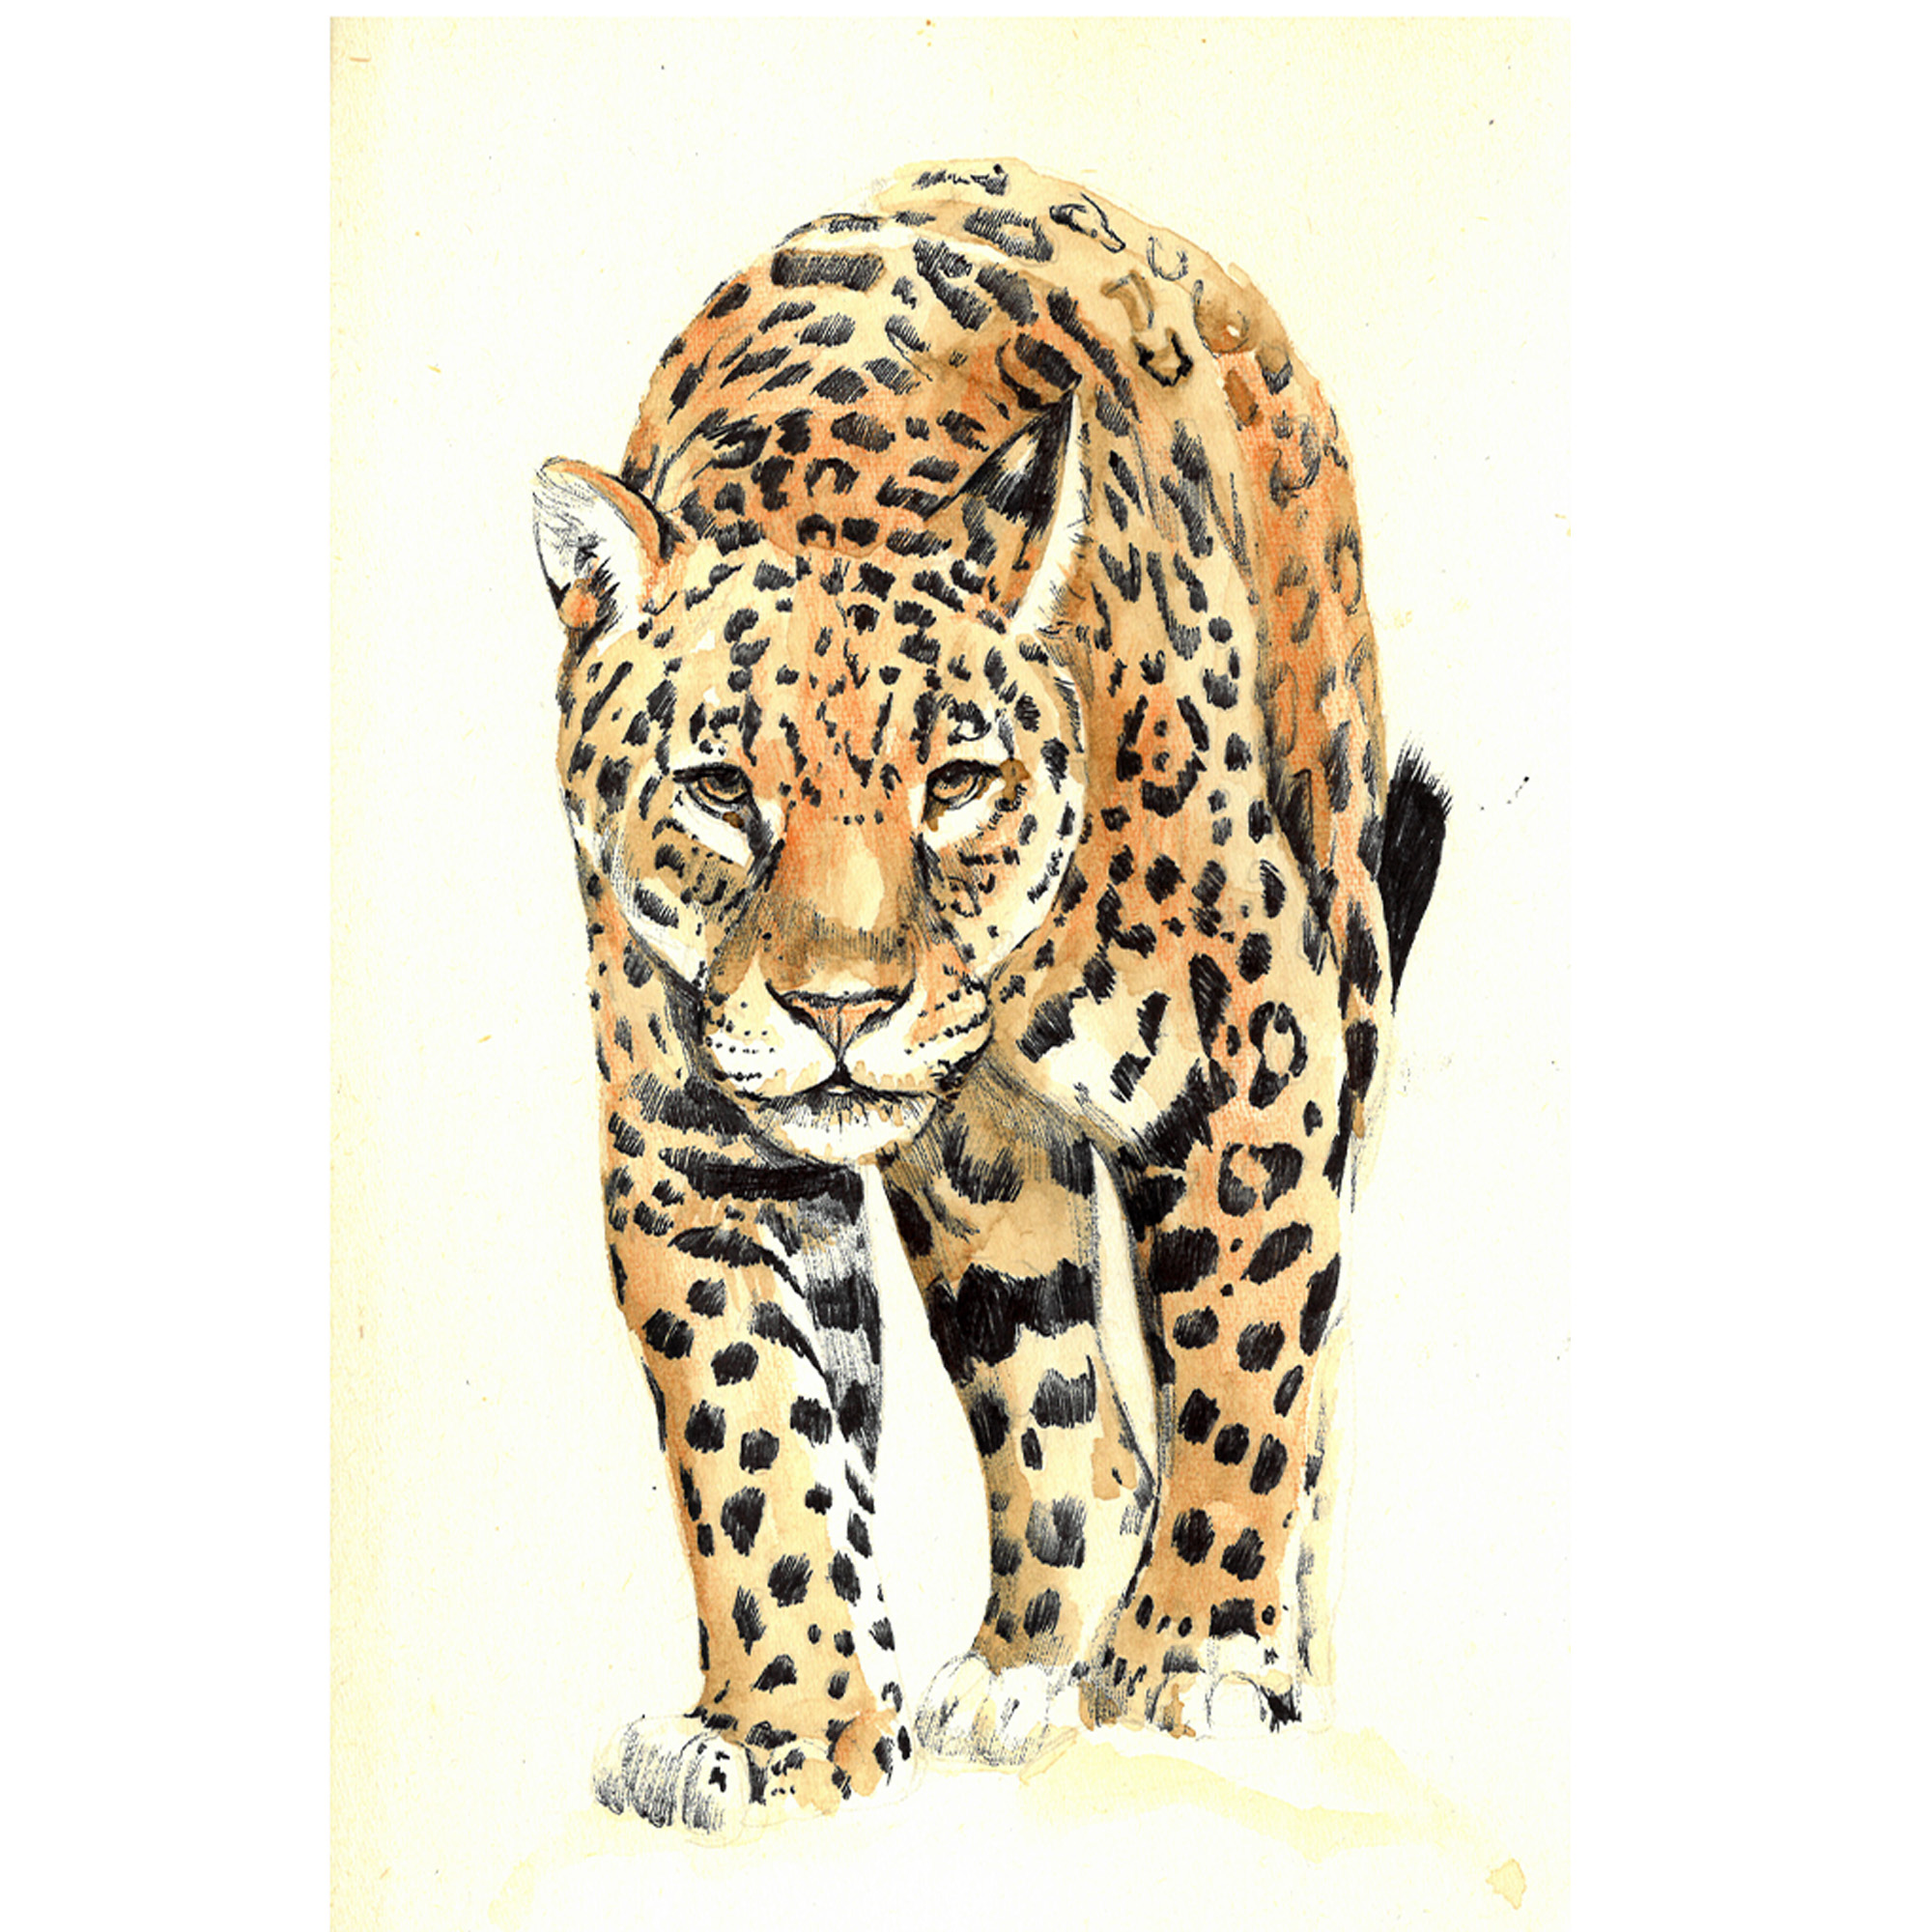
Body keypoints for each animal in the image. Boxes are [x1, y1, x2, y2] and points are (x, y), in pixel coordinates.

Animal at [531, 158, 1448, 1837]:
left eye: (954, 783)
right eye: (717, 790)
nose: (842, 1008)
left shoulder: (1257, 1065)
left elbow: (1244, 1360)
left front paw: (1198, 1654)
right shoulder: (694, 1156)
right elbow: (755, 1444)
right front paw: (786, 1729)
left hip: (1342, 890)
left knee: (1299, 1372)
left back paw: (1252, 1648)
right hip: (982, 1178)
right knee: (1061, 1407)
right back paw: (1021, 1662)